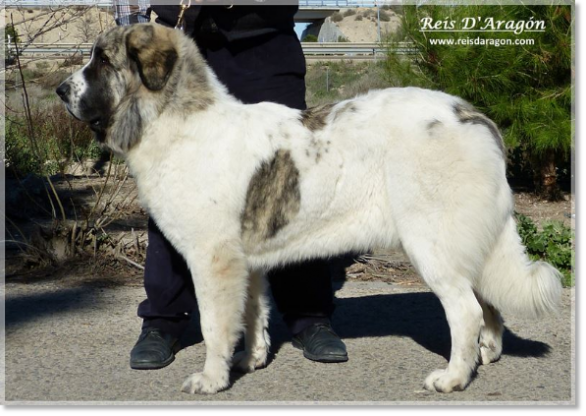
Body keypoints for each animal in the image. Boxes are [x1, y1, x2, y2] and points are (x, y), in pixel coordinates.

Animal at [56, 24, 560, 394]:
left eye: (103, 61)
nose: (61, 89)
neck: (179, 121)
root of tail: (472, 115)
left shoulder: (212, 260)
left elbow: (216, 324)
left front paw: (213, 379)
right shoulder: (246, 263)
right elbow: (252, 314)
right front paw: (251, 360)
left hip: (432, 243)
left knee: (466, 309)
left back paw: (453, 377)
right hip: (466, 241)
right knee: (487, 301)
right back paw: (485, 354)